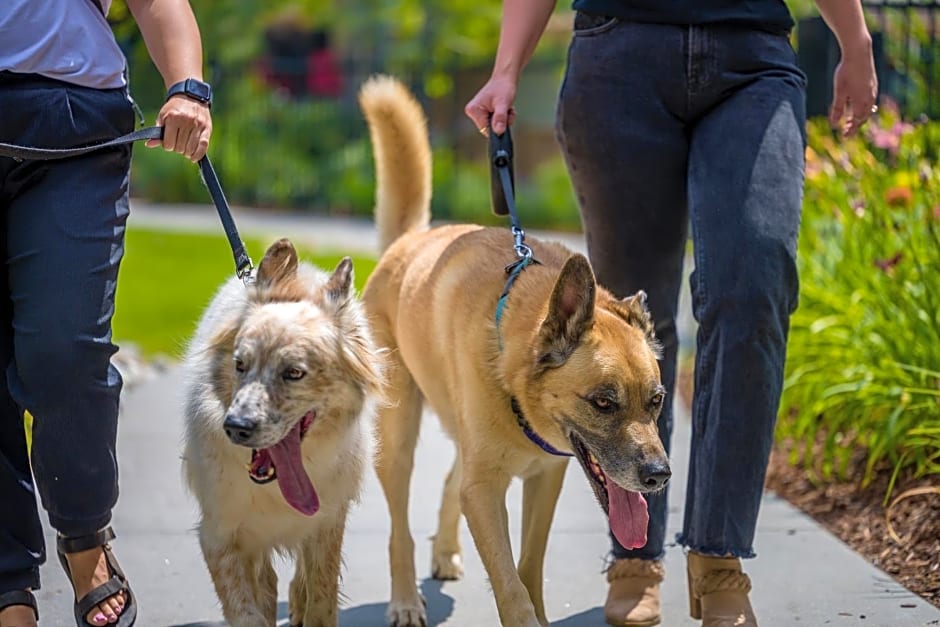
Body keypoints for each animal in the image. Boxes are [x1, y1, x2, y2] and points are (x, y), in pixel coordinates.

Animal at [180, 238, 382, 624]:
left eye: (294, 373)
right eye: (240, 365)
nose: (236, 427)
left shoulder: (326, 526)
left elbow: (320, 598)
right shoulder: (220, 536)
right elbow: (248, 612)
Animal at [356, 78, 672, 627]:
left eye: (656, 401)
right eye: (603, 402)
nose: (659, 476)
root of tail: (407, 243)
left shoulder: (544, 481)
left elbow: (529, 568)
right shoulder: (485, 491)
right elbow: (511, 587)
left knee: (450, 482)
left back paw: (445, 553)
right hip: (397, 441)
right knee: (400, 528)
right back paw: (404, 600)